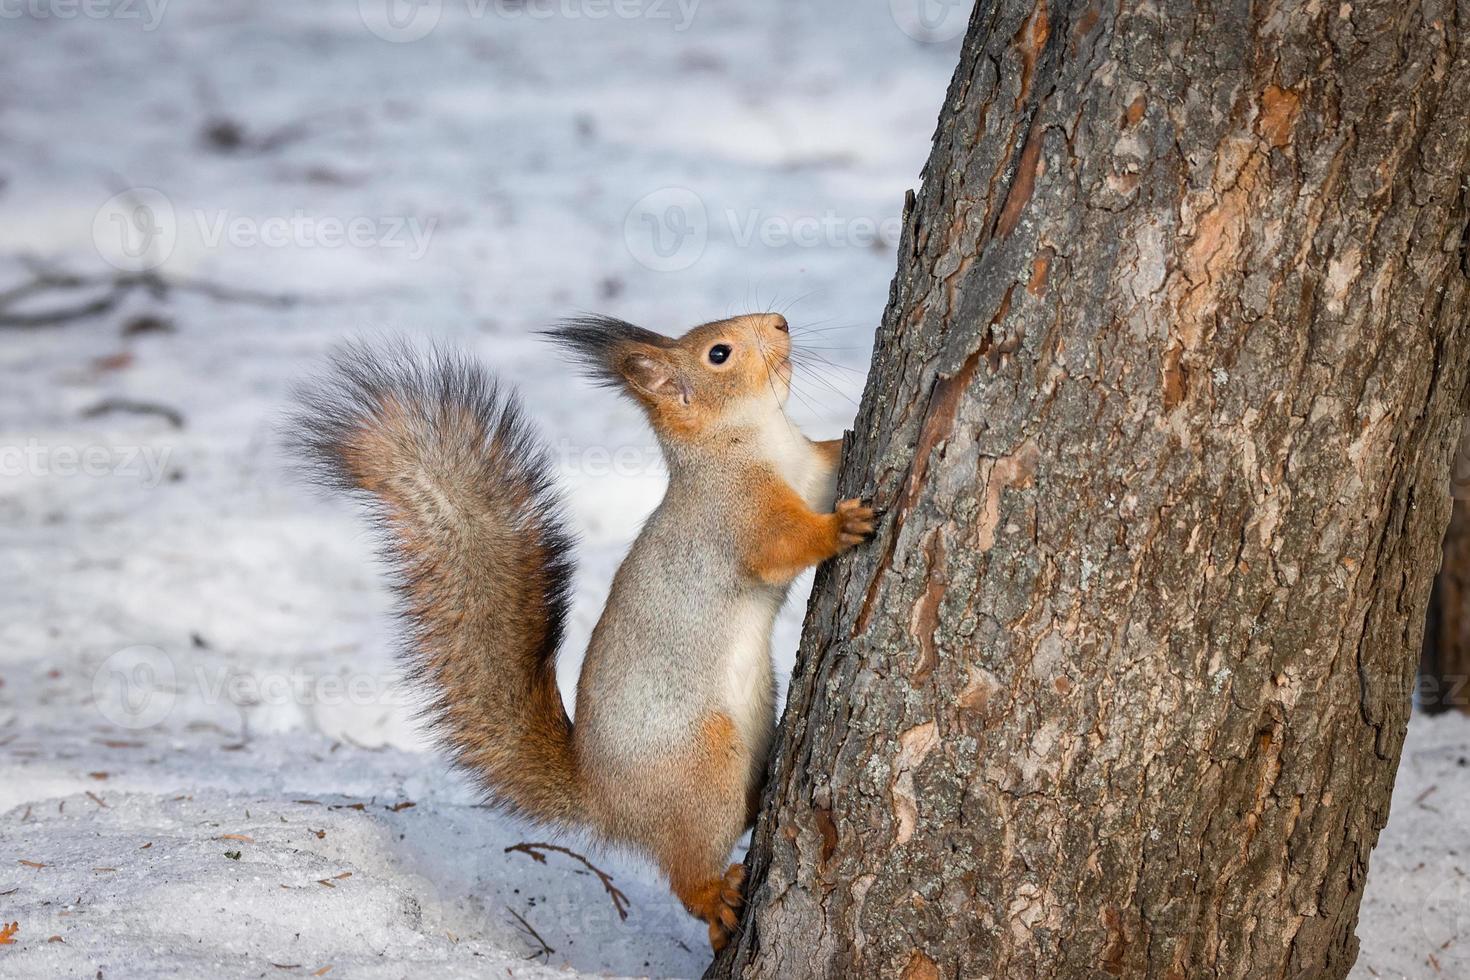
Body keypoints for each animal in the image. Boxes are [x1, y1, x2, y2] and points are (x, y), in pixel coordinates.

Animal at [292, 312, 876, 952]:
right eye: (719, 354)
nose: (780, 321)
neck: (760, 438)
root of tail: (600, 797)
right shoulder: (738, 514)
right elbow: (783, 546)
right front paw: (844, 526)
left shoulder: (811, 472)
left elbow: (828, 461)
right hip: (701, 768)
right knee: (686, 867)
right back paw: (715, 901)